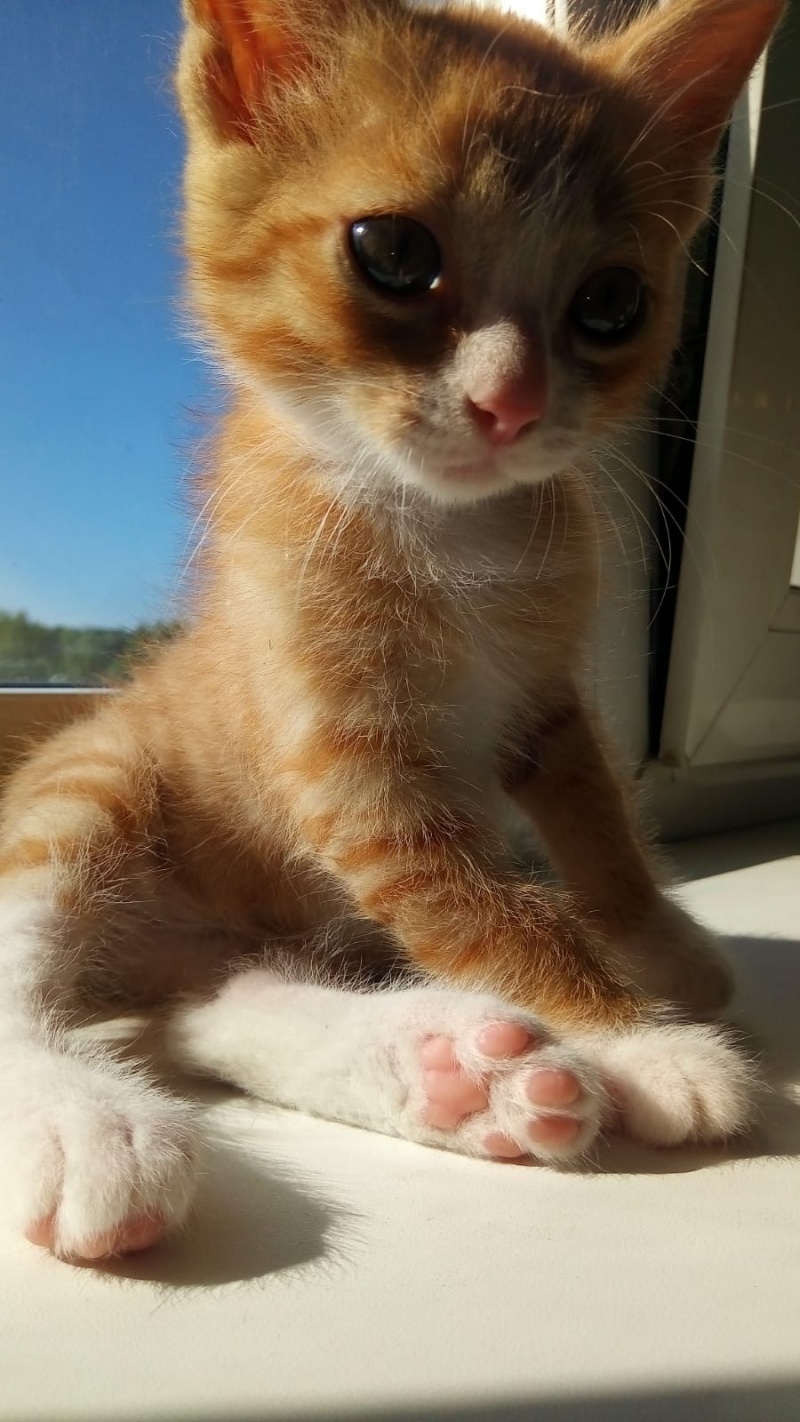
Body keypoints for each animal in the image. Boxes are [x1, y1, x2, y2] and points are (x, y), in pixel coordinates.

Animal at [0, 0, 783, 1264]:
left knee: (204, 1011)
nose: (510, 404)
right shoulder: (353, 772)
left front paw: (655, 944)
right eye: (394, 254)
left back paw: (450, 1069)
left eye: (610, 303)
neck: (453, 534)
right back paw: (85, 1124)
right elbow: (482, 907)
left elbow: (599, 831)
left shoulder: (548, 701)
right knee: (34, 979)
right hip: (89, 791)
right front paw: (640, 1039)